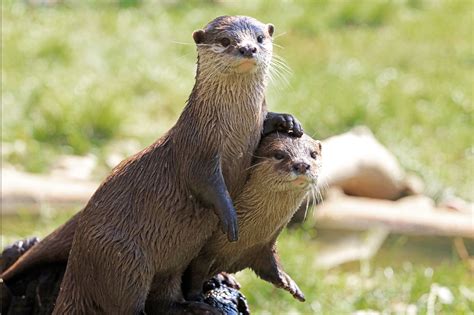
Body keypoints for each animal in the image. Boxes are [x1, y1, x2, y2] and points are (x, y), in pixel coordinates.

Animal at [48, 16, 300, 314]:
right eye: (226, 40)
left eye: (260, 38)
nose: (248, 48)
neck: (234, 131)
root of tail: (75, 268)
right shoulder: (197, 149)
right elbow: (204, 182)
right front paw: (229, 216)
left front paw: (286, 121)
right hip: (123, 260)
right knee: (128, 304)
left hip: (171, 264)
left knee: (164, 298)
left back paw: (198, 306)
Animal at [183, 133, 324, 304]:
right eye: (279, 155)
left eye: (313, 154)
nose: (302, 165)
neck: (244, 240)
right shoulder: (204, 253)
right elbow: (196, 273)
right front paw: (196, 298)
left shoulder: (264, 246)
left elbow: (271, 266)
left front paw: (288, 281)